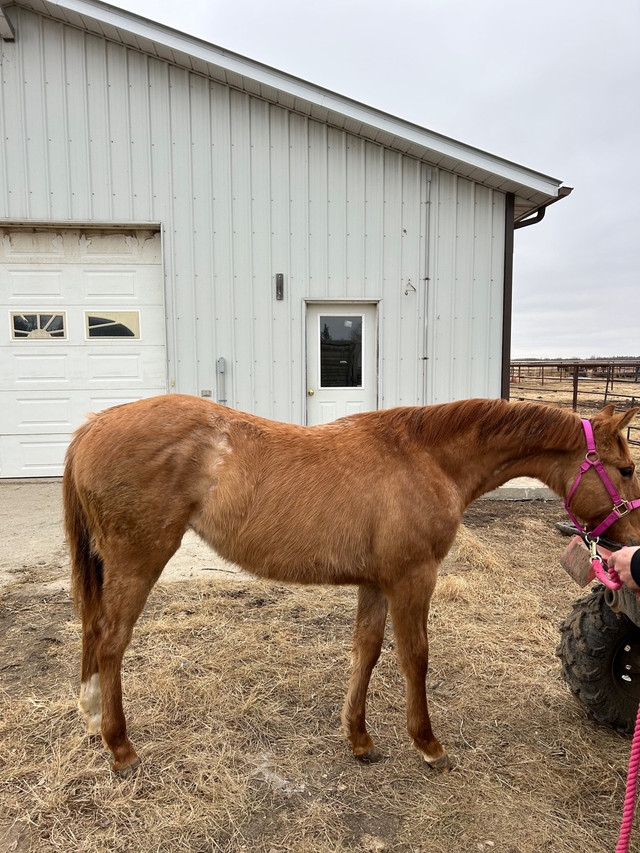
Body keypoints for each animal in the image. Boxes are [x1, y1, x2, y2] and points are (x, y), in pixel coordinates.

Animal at [63, 396, 640, 776]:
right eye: (627, 468)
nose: (631, 541)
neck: (427, 459)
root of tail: (92, 426)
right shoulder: (412, 579)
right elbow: (414, 658)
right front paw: (427, 743)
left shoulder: (377, 583)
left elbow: (366, 650)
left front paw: (359, 738)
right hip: (138, 561)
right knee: (111, 641)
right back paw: (120, 747)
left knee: (94, 631)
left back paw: (93, 718)